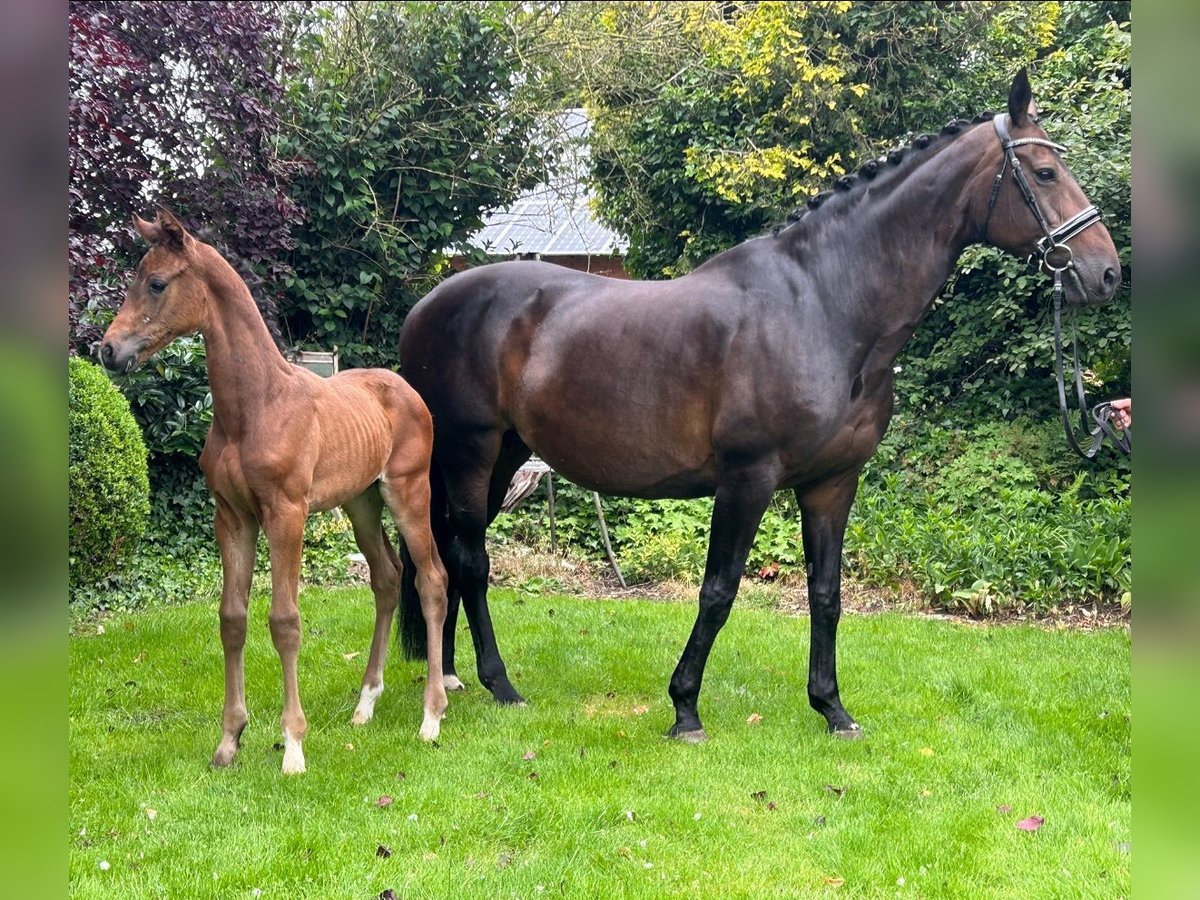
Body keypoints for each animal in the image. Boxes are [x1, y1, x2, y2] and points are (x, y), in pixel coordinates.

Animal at [100, 211, 448, 777]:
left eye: (156, 283)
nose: (108, 350)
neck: (254, 407)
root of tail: (407, 390)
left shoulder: (287, 513)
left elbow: (284, 621)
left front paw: (293, 747)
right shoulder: (232, 516)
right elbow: (232, 618)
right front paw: (229, 740)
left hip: (408, 493)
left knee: (432, 581)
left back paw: (431, 717)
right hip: (361, 504)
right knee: (387, 579)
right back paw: (365, 704)